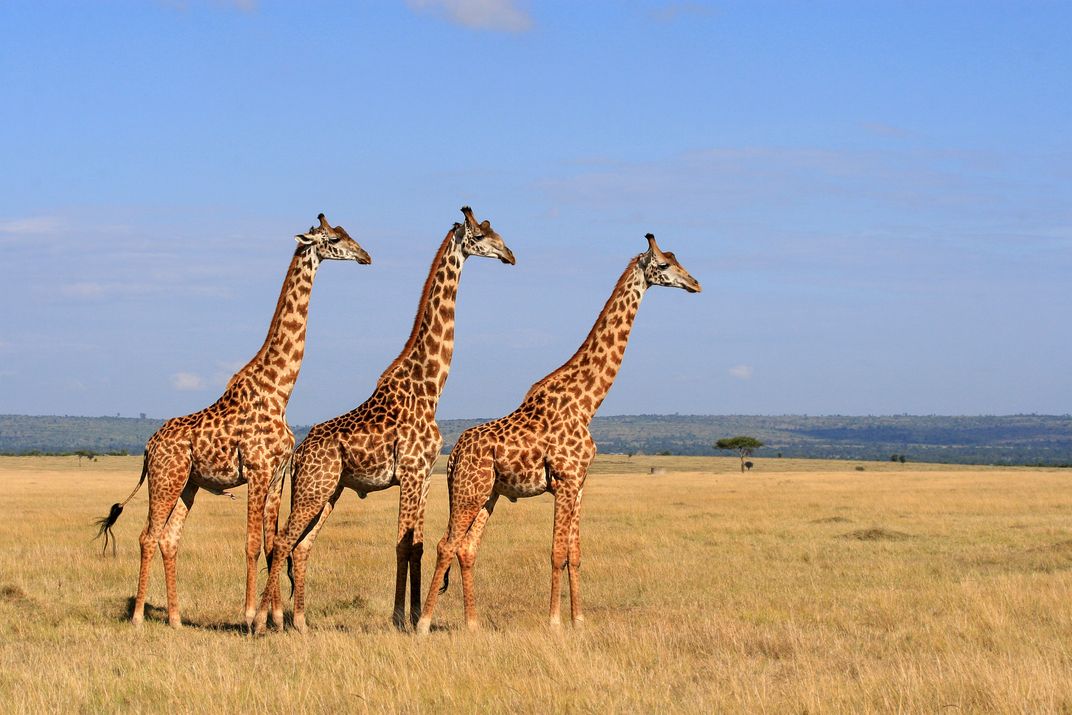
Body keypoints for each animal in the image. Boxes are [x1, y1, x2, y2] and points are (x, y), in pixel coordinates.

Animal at [95, 214, 371, 630]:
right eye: (334, 239)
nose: (365, 256)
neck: (279, 392)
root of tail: (147, 446)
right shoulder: (256, 469)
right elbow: (253, 543)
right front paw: (249, 615)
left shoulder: (276, 475)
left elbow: (273, 542)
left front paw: (274, 619)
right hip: (166, 479)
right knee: (147, 535)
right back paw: (140, 615)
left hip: (188, 485)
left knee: (169, 539)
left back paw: (176, 618)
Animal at [252, 206, 514, 634]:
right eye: (480, 235)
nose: (510, 254)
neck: (430, 387)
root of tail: (299, 454)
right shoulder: (409, 470)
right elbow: (403, 544)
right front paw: (401, 619)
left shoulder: (425, 474)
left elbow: (416, 545)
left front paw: (412, 615)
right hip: (314, 489)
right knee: (282, 541)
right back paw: (261, 622)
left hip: (329, 492)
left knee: (301, 546)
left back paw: (301, 623)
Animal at [417, 233, 701, 634]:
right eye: (663, 265)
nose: (695, 283)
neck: (587, 402)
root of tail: (454, 455)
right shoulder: (565, 479)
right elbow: (556, 551)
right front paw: (553, 621)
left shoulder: (580, 482)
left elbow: (575, 552)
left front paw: (579, 620)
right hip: (468, 492)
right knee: (446, 544)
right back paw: (423, 624)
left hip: (489, 494)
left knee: (467, 547)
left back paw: (473, 624)